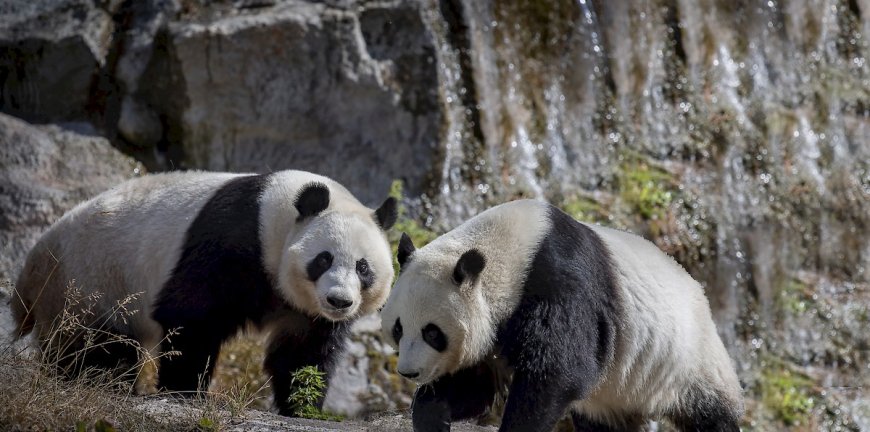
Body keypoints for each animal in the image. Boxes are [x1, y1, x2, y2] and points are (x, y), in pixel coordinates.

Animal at [12, 170, 398, 416]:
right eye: (323, 259)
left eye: (363, 267)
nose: (339, 301)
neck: (275, 216)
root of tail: (30, 270)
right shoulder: (231, 241)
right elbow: (190, 313)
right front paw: (184, 391)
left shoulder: (306, 310)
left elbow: (303, 352)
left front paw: (303, 407)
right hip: (89, 281)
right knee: (94, 347)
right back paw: (101, 384)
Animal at [380, 200, 744, 432]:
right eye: (398, 329)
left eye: (432, 332)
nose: (409, 372)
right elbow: (475, 384)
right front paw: (431, 414)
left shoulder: (559, 283)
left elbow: (559, 370)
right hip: (616, 391)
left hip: (688, 358)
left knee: (713, 413)